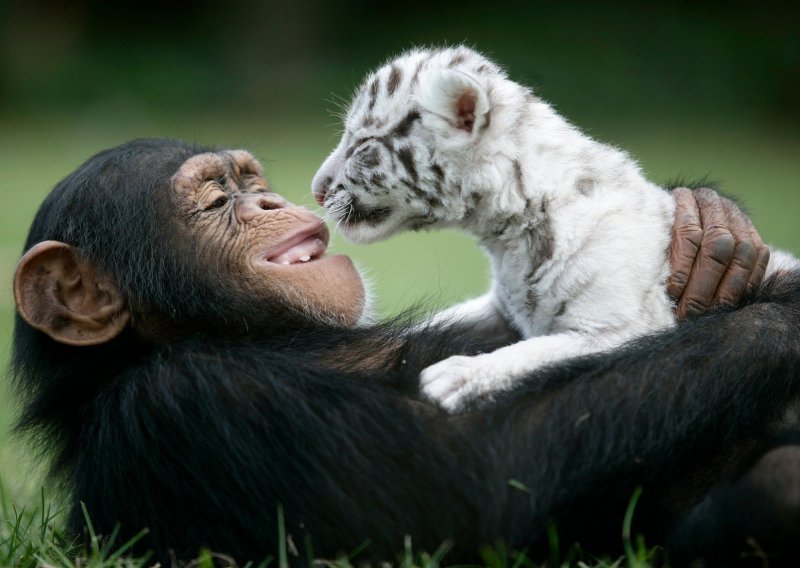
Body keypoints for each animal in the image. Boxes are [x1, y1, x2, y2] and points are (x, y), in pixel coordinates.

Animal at [10, 140, 800, 564]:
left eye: (249, 181)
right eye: (213, 201)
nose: (270, 202)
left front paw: (707, 227)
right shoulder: (189, 405)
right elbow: (477, 490)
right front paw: (778, 317)